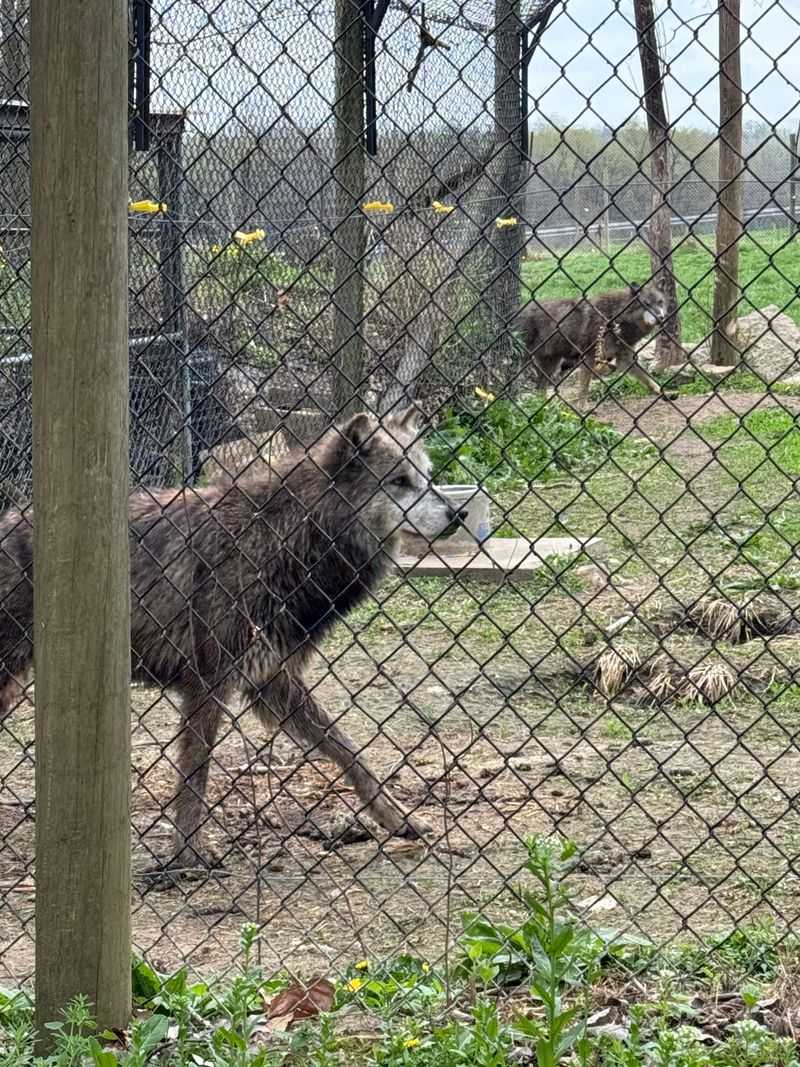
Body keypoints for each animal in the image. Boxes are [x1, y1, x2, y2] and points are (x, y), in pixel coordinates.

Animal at [0, 408, 464, 869]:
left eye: (427, 476)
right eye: (399, 481)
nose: (457, 513)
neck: (285, 539)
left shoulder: (272, 682)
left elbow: (351, 752)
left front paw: (398, 818)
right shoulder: (209, 682)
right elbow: (196, 772)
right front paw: (189, 853)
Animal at [517, 279, 673, 410]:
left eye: (660, 302)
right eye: (646, 304)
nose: (661, 317)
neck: (616, 319)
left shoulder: (626, 359)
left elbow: (649, 380)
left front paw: (665, 393)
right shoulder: (589, 358)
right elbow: (584, 387)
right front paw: (583, 409)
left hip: (551, 366)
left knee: (540, 389)